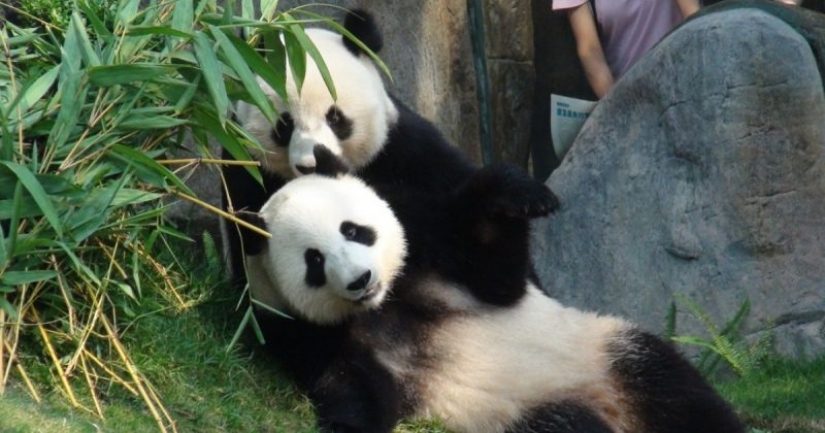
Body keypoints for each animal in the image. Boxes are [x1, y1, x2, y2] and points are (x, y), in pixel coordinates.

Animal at [242, 149, 744, 433]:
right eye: (314, 261)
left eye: (354, 230)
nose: (361, 280)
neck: (383, 306)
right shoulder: (300, 330)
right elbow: (348, 382)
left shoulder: (423, 236)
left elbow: (498, 276)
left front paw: (518, 195)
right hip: (525, 412)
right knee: (569, 424)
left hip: (603, 354)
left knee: (670, 388)